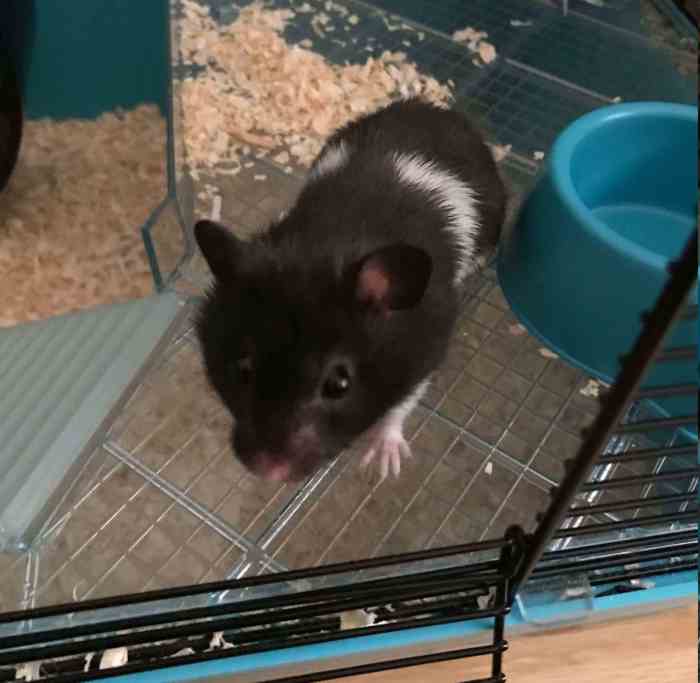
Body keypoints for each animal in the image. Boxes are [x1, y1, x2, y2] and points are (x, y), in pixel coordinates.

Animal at [195, 97, 506, 483]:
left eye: (339, 385)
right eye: (244, 368)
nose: (266, 472)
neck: (325, 248)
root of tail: (441, 111)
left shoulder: (427, 346)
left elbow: (402, 403)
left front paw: (385, 466)